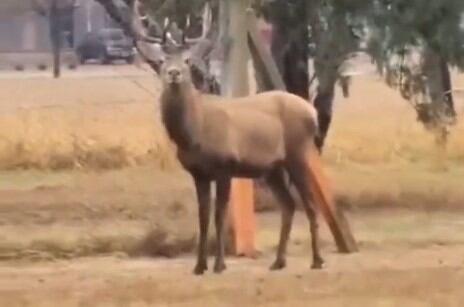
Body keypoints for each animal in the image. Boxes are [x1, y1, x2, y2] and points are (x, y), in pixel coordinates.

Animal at [96, 0, 324, 276]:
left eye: (186, 60)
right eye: (161, 60)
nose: (173, 73)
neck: (195, 133)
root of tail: (312, 112)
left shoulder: (225, 165)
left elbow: (219, 215)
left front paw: (219, 264)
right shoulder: (198, 172)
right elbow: (203, 217)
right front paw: (199, 265)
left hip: (297, 154)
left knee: (309, 203)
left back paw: (317, 260)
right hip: (272, 168)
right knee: (289, 205)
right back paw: (279, 262)